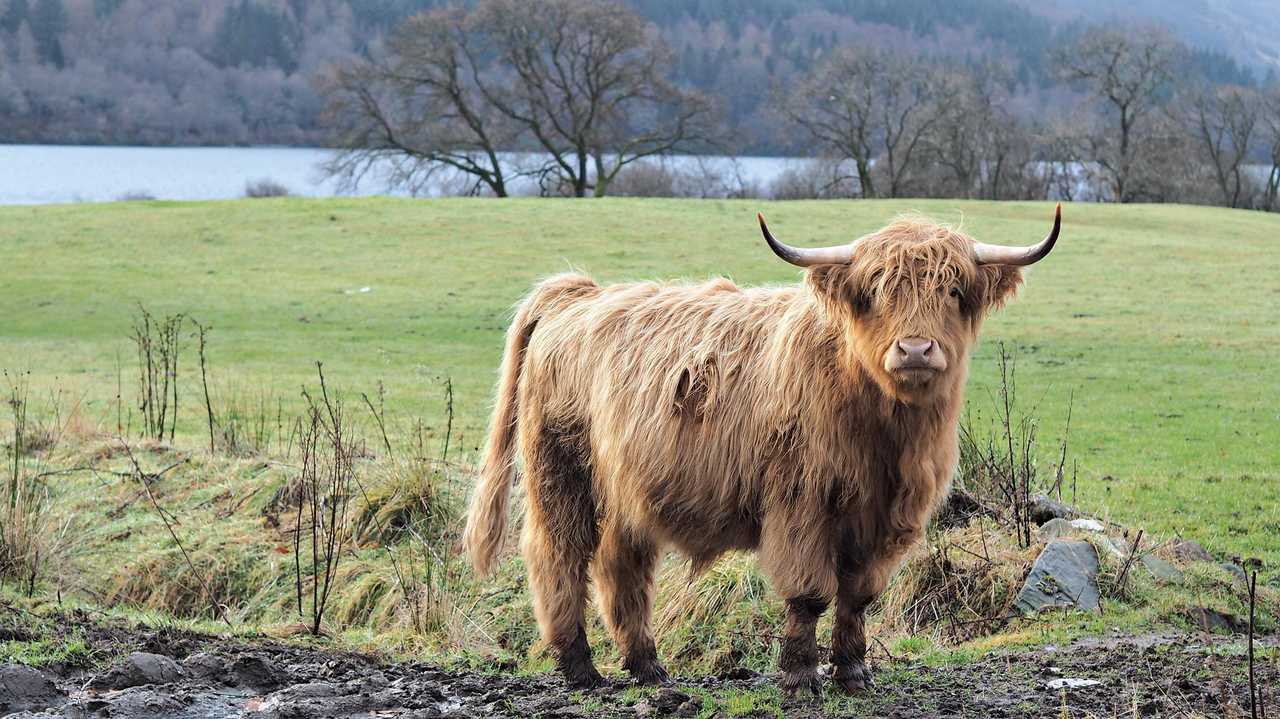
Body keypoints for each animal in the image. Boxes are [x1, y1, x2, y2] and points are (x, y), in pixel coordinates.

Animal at [460, 204, 1059, 690]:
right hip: (560, 471)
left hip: (625, 487)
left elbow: (858, 595)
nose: (915, 350)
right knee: (558, 556)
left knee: (620, 563)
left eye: (954, 292)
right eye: (874, 293)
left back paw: (647, 666)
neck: (884, 432)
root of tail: (579, 294)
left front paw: (854, 674)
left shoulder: (886, 516)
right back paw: (580, 668)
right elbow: (811, 593)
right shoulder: (801, 504)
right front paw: (799, 678)